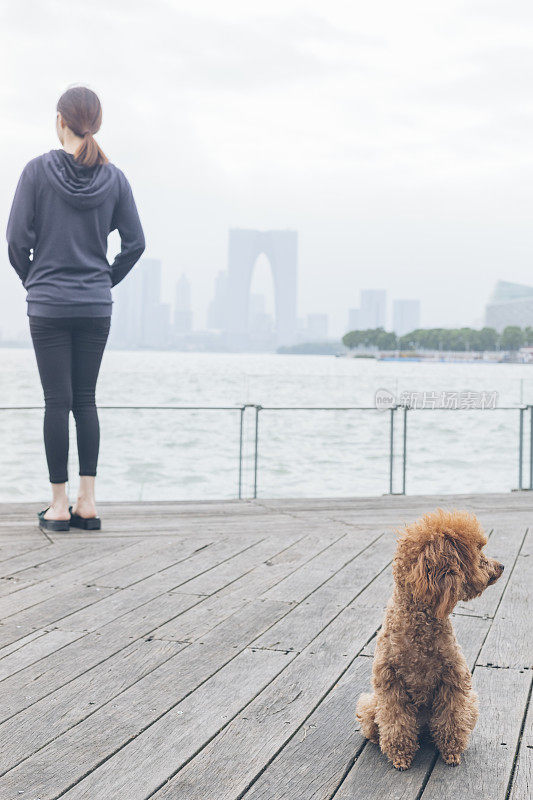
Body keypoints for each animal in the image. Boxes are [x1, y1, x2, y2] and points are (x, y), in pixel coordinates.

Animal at [356, 510, 500, 772]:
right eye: (477, 552)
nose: (501, 566)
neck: (419, 626)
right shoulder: (390, 684)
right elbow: (397, 723)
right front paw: (401, 756)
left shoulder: (453, 680)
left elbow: (452, 720)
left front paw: (451, 752)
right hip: (370, 705)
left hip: (471, 704)